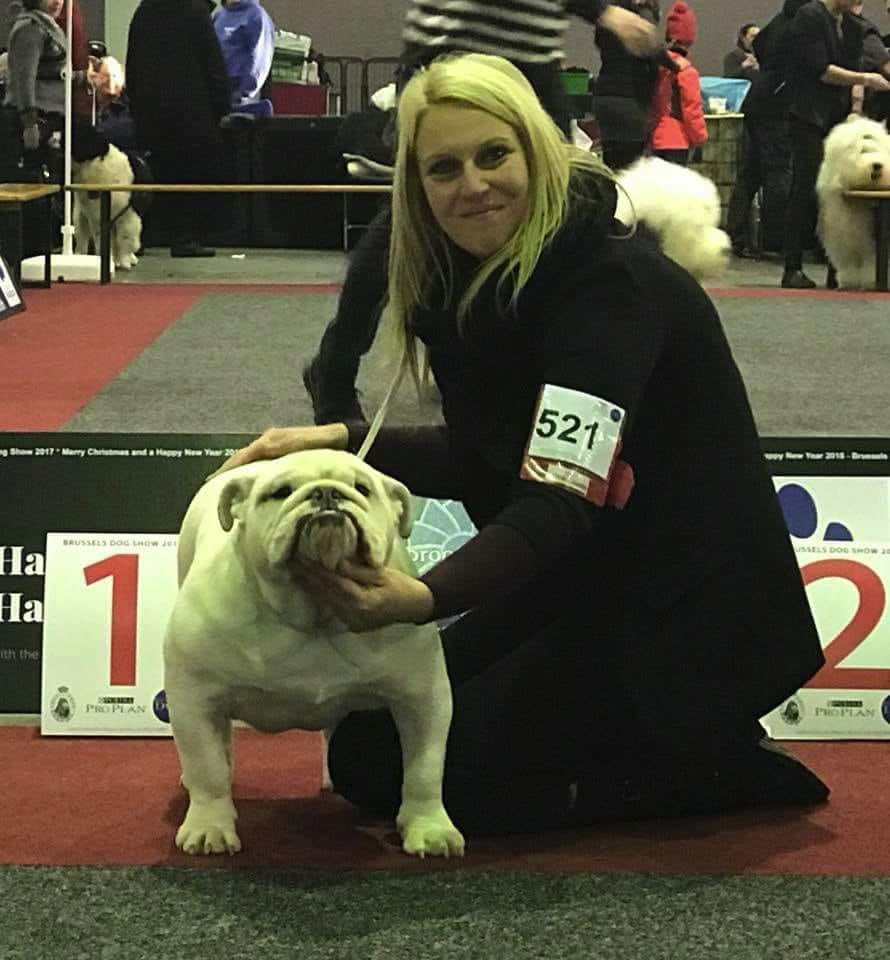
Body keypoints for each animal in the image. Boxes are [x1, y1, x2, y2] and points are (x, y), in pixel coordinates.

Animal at [70, 123, 142, 271]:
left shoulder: (128, 215)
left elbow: (126, 239)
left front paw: (125, 262)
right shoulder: (96, 216)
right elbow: (102, 240)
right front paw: (110, 261)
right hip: (79, 216)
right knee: (82, 237)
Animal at [163, 449, 465, 859]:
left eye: (362, 488)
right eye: (279, 493)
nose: (325, 493)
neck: (316, 612)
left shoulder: (423, 698)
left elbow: (425, 769)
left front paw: (430, 828)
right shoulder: (194, 698)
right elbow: (207, 767)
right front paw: (209, 826)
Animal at [817, 114, 890, 290]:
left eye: (879, 151)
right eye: (863, 151)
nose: (877, 165)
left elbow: (871, 259)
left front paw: (869, 281)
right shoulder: (844, 229)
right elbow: (848, 258)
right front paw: (849, 280)